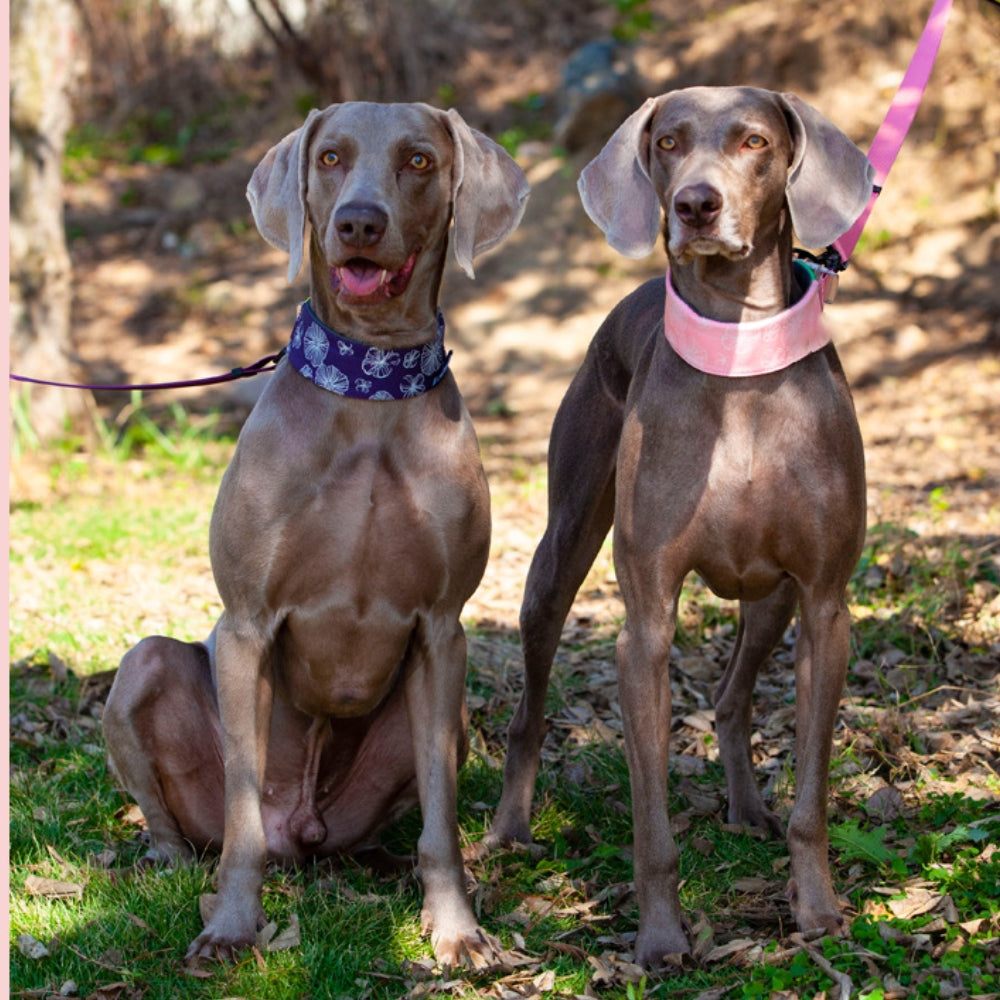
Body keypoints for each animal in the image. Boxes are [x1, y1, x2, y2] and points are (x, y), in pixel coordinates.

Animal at [103, 103, 532, 968]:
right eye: (330, 157)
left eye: (419, 160)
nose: (359, 222)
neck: (368, 388)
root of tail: (298, 828)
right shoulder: (246, 626)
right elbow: (238, 825)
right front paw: (232, 927)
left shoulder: (443, 631)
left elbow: (442, 821)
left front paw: (456, 926)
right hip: (143, 670)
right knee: (188, 816)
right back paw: (168, 862)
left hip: (442, 722)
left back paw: (381, 860)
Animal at [486, 88, 876, 968]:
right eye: (667, 142)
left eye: (756, 141)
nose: (697, 205)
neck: (738, 361)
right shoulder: (646, 625)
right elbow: (651, 825)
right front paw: (662, 936)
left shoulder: (825, 605)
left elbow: (811, 799)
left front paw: (818, 910)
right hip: (558, 554)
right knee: (529, 708)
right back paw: (510, 826)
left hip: (771, 598)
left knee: (731, 701)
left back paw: (747, 809)